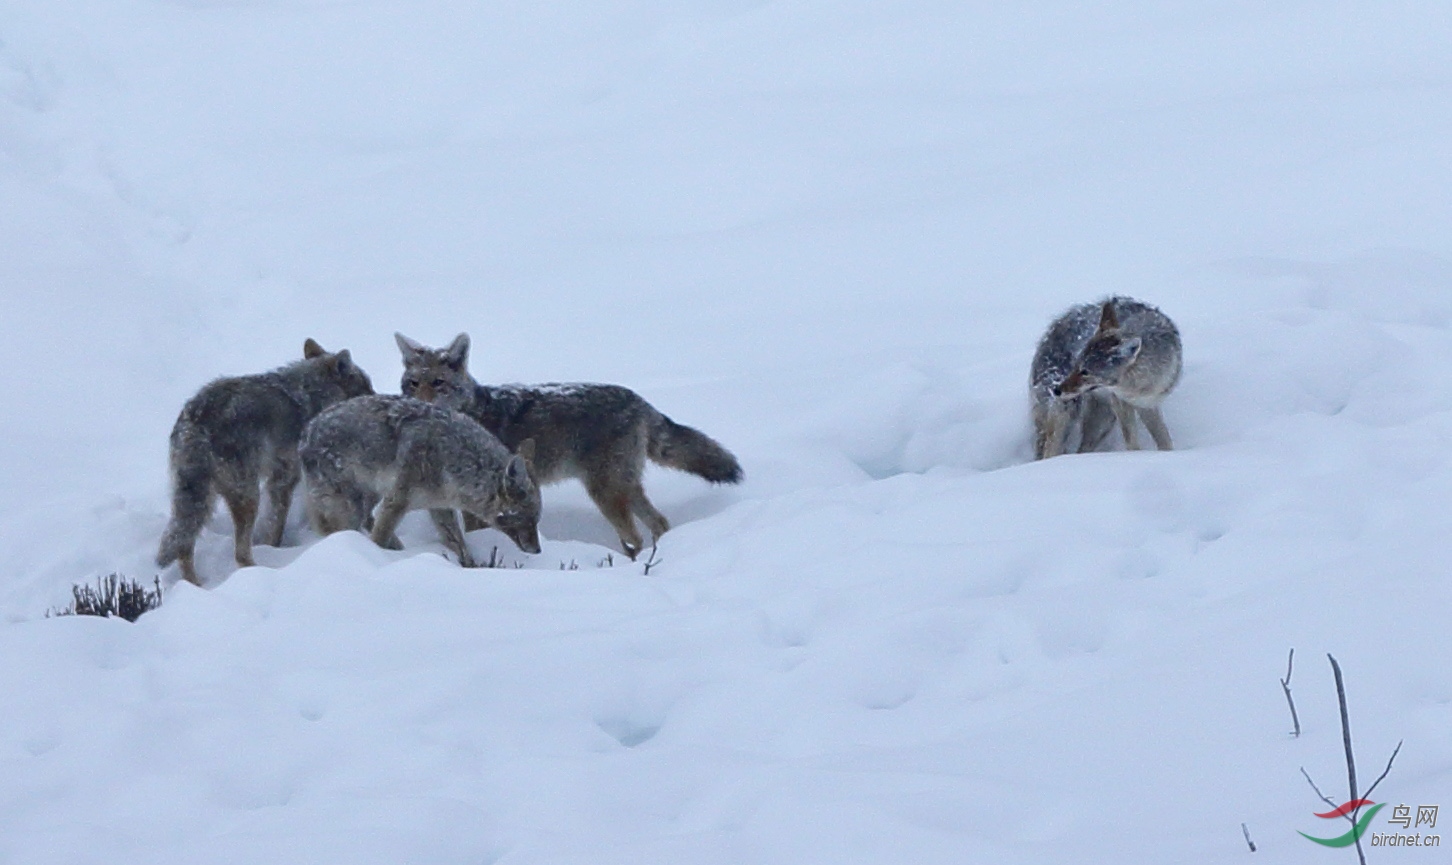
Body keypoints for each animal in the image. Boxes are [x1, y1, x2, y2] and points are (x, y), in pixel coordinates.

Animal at [154, 341, 374, 583]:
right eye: (367, 386)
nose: (379, 396)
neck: (311, 395)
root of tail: (196, 423)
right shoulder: (283, 481)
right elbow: (276, 524)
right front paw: (274, 548)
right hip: (248, 497)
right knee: (239, 554)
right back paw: (259, 572)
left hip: (199, 501)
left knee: (183, 544)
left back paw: (195, 585)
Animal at [297, 394, 543, 568]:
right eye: (527, 520)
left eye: (536, 521)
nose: (538, 551)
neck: (451, 458)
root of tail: (306, 432)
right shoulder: (396, 502)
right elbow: (379, 538)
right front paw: (379, 563)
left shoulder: (439, 507)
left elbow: (459, 545)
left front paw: (469, 567)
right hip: (352, 508)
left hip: (368, 499)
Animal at [392, 330, 743, 560]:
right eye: (413, 383)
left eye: (438, 383)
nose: (418, 402)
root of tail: (639, 401)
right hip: (625, 489)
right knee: (659, 524)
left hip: (606, 493)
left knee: (636, 537)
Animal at [1033, 296, 1179, 458]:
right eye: (1076, 366)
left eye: (1085, 372)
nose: (1056, 390)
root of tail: (1055, 325)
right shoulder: (1121, 403)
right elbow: (1132, 442)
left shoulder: (1147, 405)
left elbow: (1164, 440)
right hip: (1067, 415)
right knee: (1050, 450)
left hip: (1102, 423)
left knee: (1081, 449)